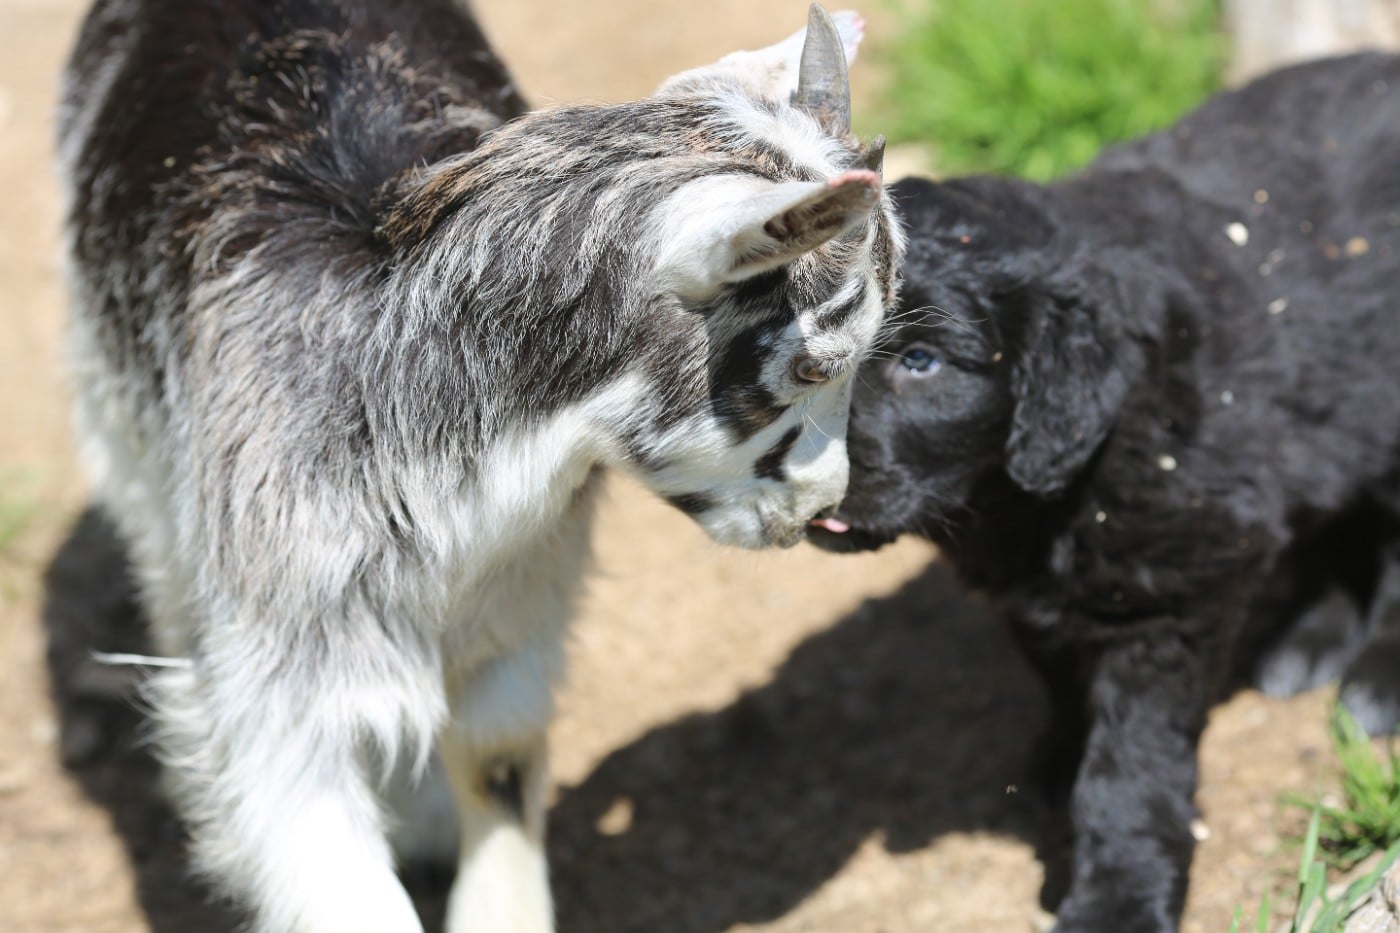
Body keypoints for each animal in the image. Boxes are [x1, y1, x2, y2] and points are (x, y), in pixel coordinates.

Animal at [57, 2, 902, 930]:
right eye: (814, 369)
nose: (825, 505)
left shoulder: (516, 600)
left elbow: (495, 756)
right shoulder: (291, 676)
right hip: (123, 434)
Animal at [809, 53, 1400, 932]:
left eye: (921, 361)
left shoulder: (1170, 599)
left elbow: (1129, 769)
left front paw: (1117, 895)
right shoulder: (1037, 593)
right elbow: (1060, 675)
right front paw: (1060, 756)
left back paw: (1377, 677)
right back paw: (1310, 637)